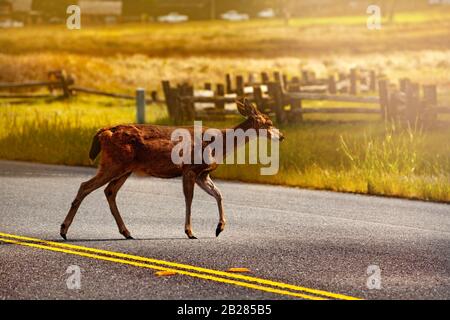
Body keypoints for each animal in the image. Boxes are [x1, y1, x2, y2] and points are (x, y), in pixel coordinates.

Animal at [59, 99, 284, 240]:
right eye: (269, 123)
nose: (282, 136)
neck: (219, 144)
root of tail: (103, 132)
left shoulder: (203, 174)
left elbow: (219, 194)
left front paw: (219, 228)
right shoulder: (190, 169)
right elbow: (189, 199)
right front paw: (190, 231)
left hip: (125, 168)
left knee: (109, 191)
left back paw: (127, 232)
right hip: (114, 163)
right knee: (85, 186)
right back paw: (63, 230)